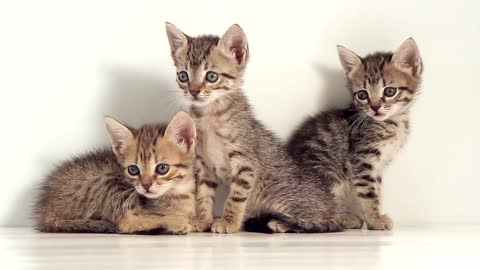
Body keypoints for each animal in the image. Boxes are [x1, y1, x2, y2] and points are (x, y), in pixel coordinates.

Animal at [34, 112, 197, 234]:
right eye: (133, 169)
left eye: (162, 168)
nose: (146, 186)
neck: (178, 192)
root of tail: (45, 211)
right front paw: (178, 221)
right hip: (107, 180)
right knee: (124, 224)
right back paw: (175, 224)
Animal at [165, 23, 360, 233]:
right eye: (183, 76)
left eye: (211, 76)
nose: (193, 91)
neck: (209, 115)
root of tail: (334, 205)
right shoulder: (204, 166)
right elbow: (203, 194)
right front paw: (202, 220)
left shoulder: (245, 164)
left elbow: (235, 198)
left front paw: (229, 222)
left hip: (280, 197)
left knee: (324, 222)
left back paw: (282, 223)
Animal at [286, 38, 422, 230]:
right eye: (362, 95)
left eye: (389, 91)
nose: (375, 107)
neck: (392, 122)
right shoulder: (362, 159)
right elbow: (369, 193)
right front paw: (375, 220)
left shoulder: (378, 165)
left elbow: (376, 191)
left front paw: (375, 217)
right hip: (329, 176)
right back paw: (344, 218)